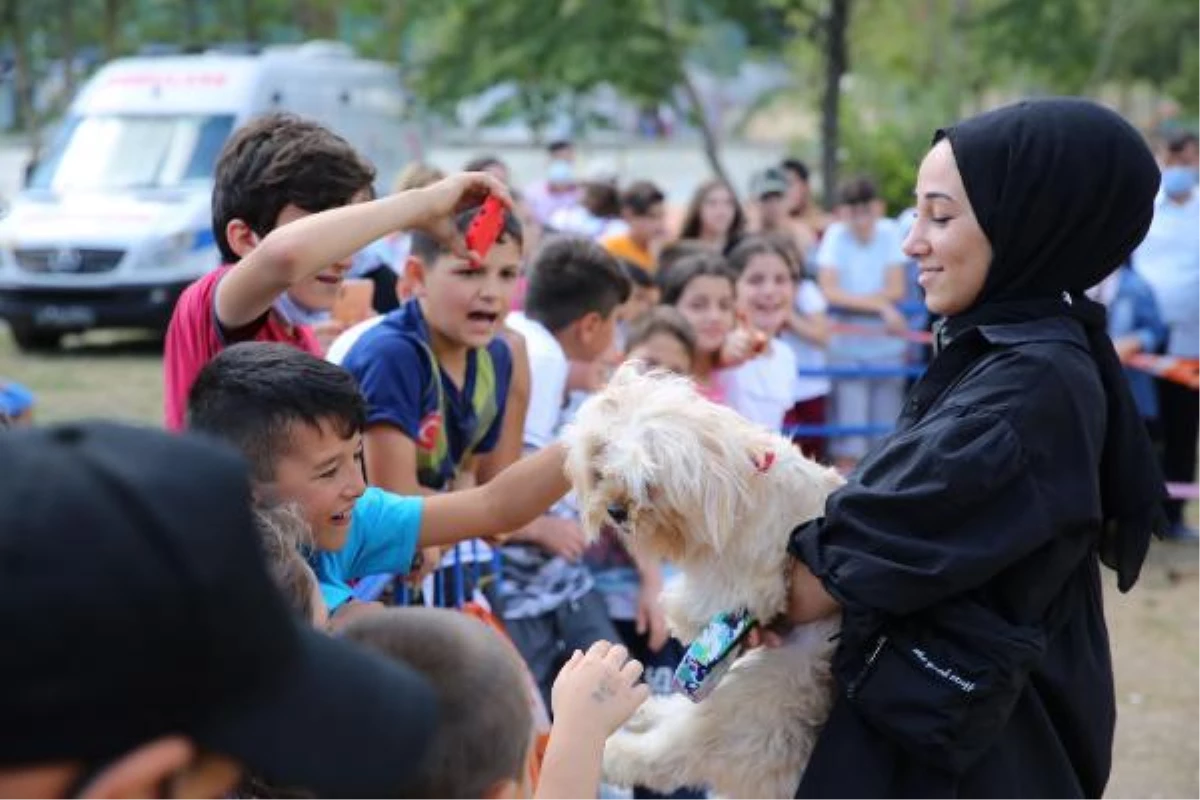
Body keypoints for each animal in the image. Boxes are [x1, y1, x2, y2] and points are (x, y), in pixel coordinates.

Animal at [564, 367, 840, 796]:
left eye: (648, 482)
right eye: (603, 466)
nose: (615, 511)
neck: (737, 490)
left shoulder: (751, 582)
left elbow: (708, 600)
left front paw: (681, 617)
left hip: (746, 708)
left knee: (664, 757)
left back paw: (609, 751)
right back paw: (643, 708)